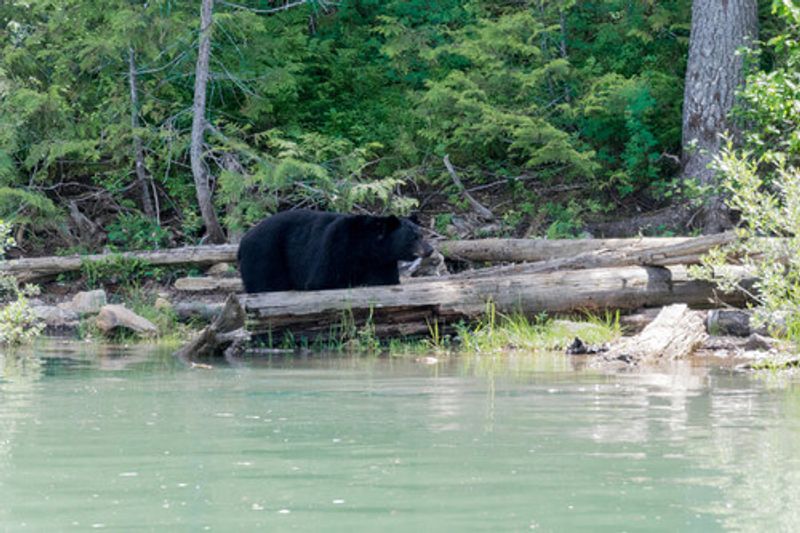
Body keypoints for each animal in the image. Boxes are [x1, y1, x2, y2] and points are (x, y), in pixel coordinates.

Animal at [238, 209, 434, 294]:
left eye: (421, 234)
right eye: (413, 237)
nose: (430, 249)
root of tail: (243, 241)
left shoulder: (382, 262)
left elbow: (386, 279)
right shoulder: (336, 247)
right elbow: (322, 280)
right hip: (264, 253)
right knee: (265, 282)